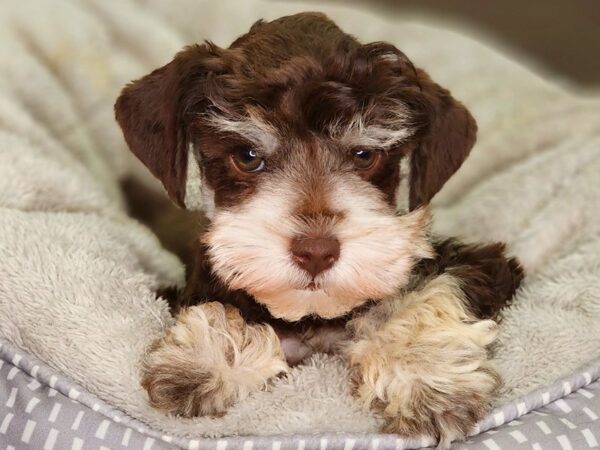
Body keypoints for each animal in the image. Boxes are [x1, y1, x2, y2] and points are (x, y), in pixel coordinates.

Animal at [115, 12, 524, 448]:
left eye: (364, 155)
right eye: (247, 156)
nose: (316, 252)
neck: (312, 317)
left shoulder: (484, 264)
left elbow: (430, 292)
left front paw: (425, 379)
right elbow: (224, 306)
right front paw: (204, 363)